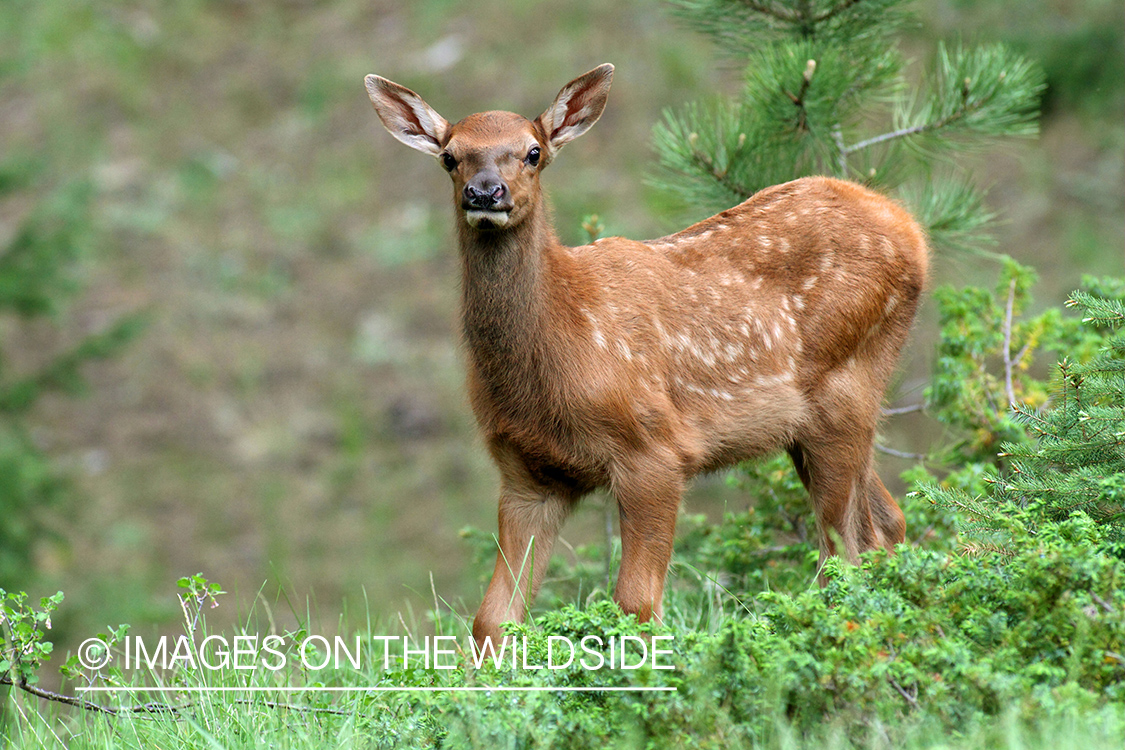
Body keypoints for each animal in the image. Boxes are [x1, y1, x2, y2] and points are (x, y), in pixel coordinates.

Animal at [364, 63, 929, 650]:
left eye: (533, 152)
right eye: (450, 156)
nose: (484, 192)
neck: (562, 344)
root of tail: (908, 225)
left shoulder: (655, 449)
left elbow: (636, 605)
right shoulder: (527, 475)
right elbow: (492, 619)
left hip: (846, 384)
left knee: (844, 553)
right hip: (816, 422)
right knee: (885, 524)